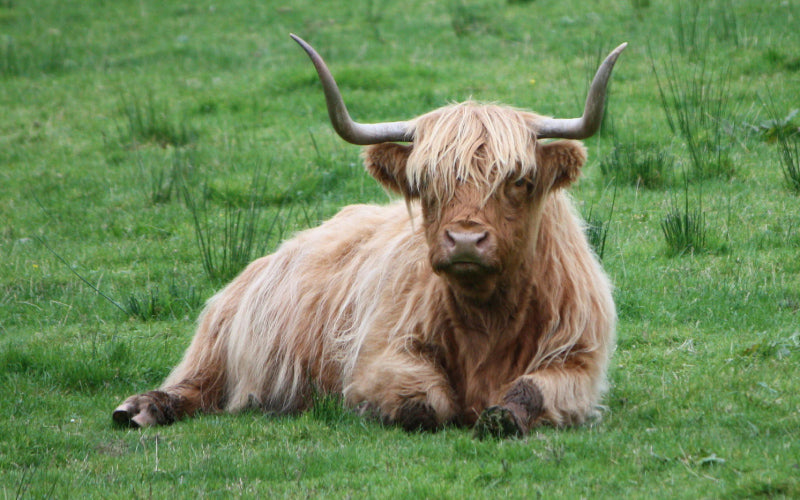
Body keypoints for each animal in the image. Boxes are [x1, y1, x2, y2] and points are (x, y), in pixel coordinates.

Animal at [114, 35, 624, 438]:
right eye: (425, 182)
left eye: (519, 179)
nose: (464, 242)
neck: (487, 317)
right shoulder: (378, 355)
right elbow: (426, 404)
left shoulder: (578, 360)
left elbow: (529, 391)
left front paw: (500, 416)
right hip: (221, 341)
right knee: (194, 382)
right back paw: (141, 408)